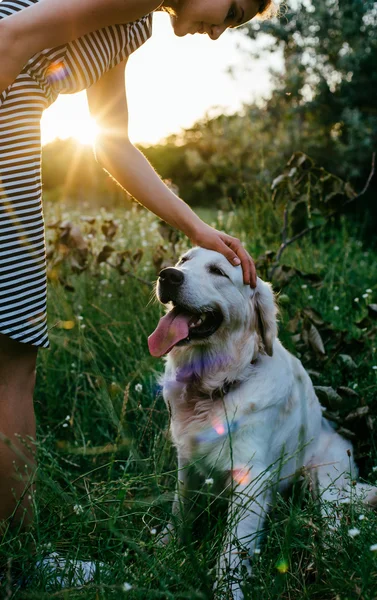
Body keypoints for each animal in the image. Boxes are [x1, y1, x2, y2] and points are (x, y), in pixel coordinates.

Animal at [148, 246, 374, 596]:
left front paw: (227, 592)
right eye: (184, 260)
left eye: (218, 271)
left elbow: (231, 552)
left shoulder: (250, 480)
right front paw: (169, 547)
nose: (168, 275)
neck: (216, 386)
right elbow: (180, 510)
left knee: (335, 524)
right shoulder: (187, 463)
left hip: (326, 482)